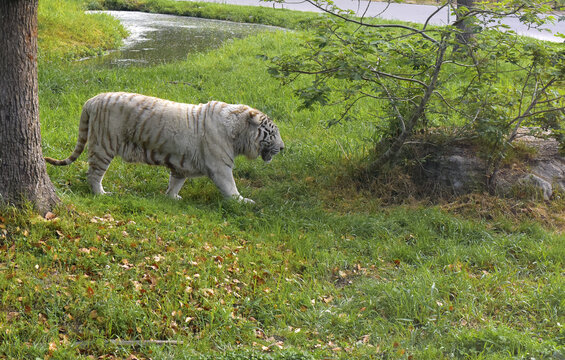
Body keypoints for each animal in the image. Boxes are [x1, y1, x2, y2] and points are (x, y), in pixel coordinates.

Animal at [44, 91, 284, 204]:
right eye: (272, 133)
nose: (282, 148)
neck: (238, 134)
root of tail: (93, 99)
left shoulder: (182, 165)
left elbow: (175, 182)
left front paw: (172, 197)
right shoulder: (220, 166)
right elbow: (230, 187)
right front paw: (243, 201)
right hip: (105, 145)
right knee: (93, 174)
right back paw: (101, 194)